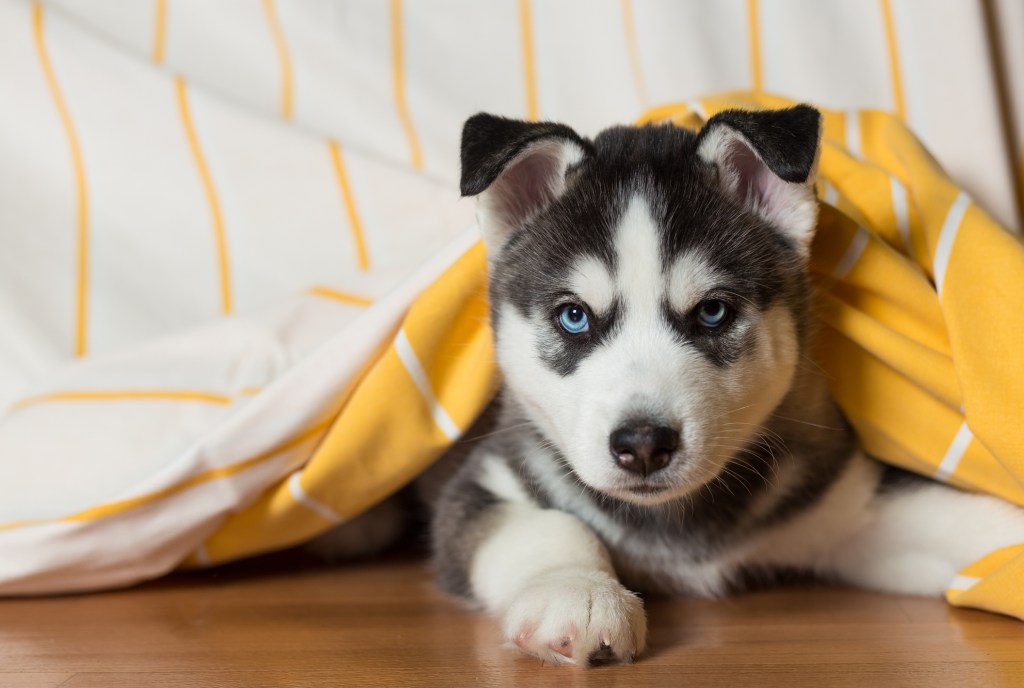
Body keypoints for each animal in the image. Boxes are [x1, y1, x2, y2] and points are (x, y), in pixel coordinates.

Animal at [430, 105, 1024, 667]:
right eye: (573, 317)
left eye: (713, 312)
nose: (643, 444)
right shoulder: (487, 478)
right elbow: (549, 525)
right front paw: (578, 592)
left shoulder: (850, 506)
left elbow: (950, 511)